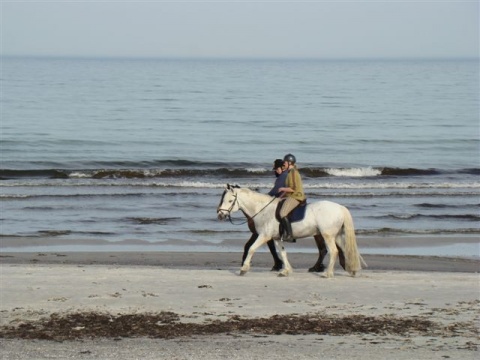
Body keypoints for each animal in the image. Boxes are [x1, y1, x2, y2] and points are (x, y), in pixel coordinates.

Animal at [216, 184, 366, 278]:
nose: (220, 215)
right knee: (343, 250)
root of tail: (339, 207)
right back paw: (350, 269)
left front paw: (244, 269)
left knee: (333, 251)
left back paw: (327, 273)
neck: (263, 210)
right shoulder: (276, 238)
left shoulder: (264, 236)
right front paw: (286, 271)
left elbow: (251, 248)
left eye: (230, 201)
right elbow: (283, 253)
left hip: (327, 235)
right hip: (337, 235)